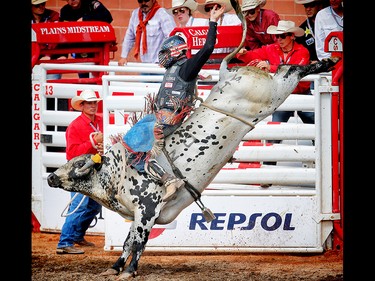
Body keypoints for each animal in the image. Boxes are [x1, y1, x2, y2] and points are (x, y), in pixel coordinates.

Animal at [46, 0, 340, 278]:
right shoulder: (139, 215)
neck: (117, 172)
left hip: (274, 92)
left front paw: (129, 270)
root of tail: (228, 75)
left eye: (78, 164)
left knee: (291, 70)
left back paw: (325, 63)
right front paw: (115, 267)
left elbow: (138, 242)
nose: (50, 177)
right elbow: (129, 241)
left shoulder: (147, 210)